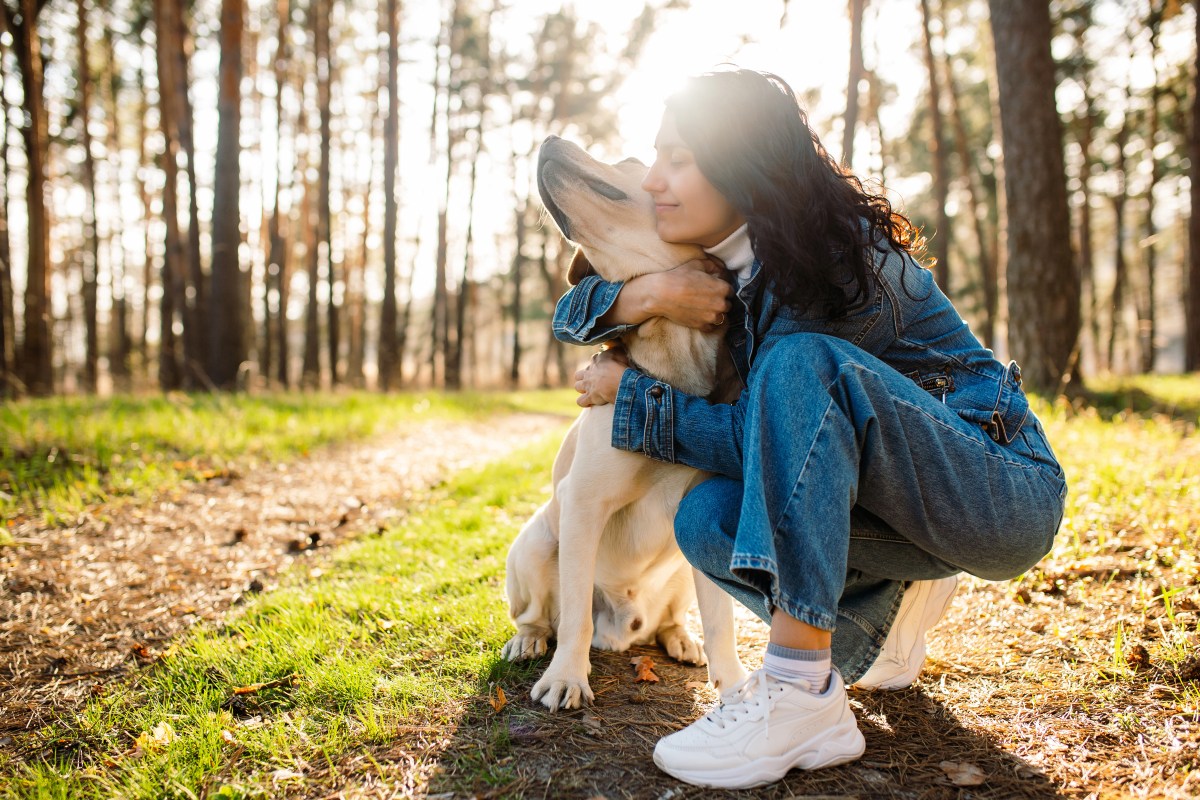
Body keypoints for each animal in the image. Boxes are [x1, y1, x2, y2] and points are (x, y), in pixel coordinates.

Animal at [499, 137, 744, 714]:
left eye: (633, 162)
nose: (548, 138)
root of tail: (625, 627)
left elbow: (723, 622)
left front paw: (738, 689)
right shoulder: (584, 501)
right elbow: (575, 618)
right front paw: (567, 675)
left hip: (679, 569)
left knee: (674, 616)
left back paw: (681, 637)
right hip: (537, 541)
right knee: (544, 615)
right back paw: (530, 639)